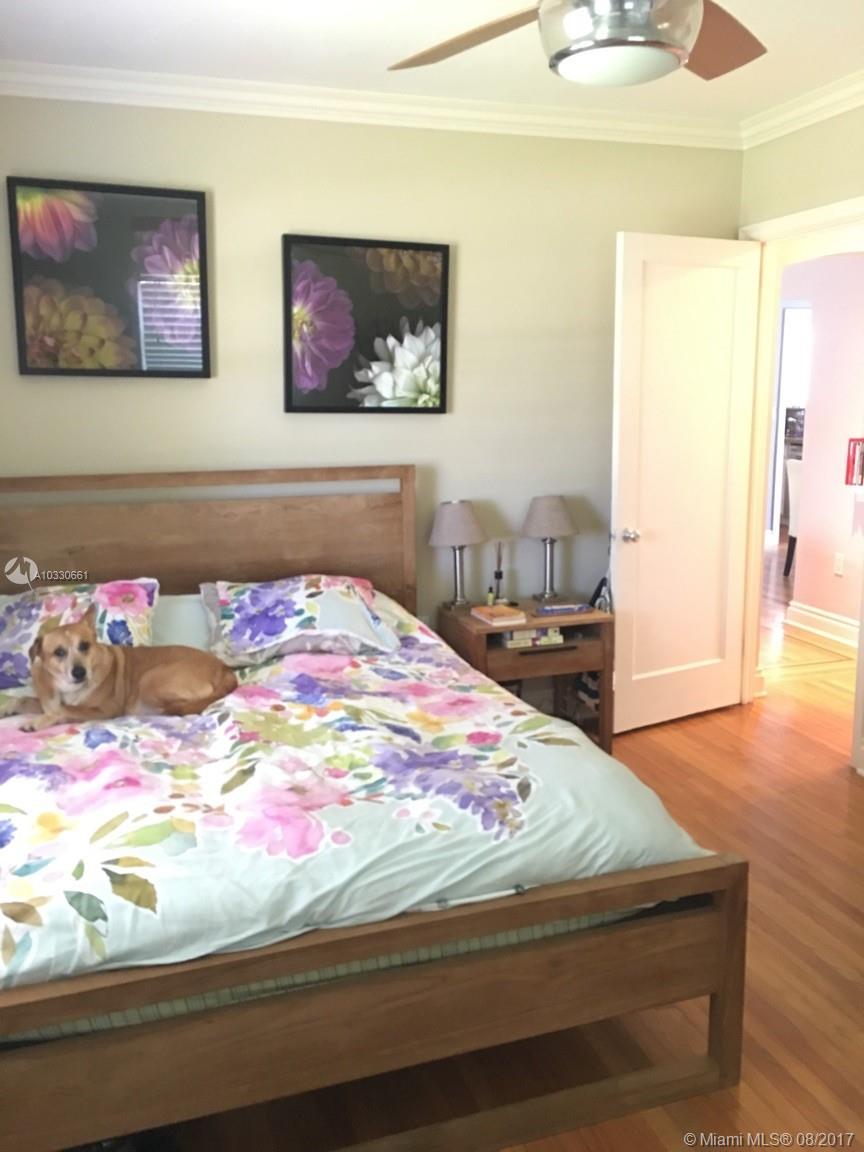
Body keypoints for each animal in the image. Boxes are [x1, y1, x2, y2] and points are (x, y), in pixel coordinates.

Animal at [24, 605, 237, 731]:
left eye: (84, 646)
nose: (79, 672)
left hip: (150, 679)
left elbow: (65, 709)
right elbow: (26, 701)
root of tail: (224, 668)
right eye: (59, 652)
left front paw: (37, 721)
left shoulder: (106, 710)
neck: (69, 690)